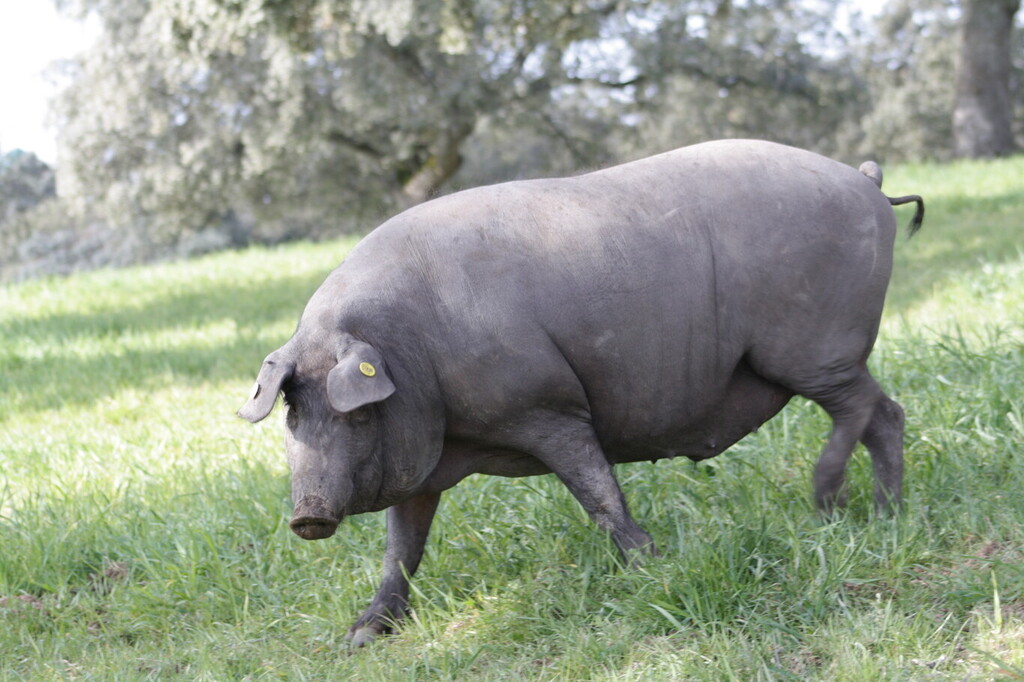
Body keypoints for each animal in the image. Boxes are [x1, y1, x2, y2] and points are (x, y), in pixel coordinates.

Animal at [239, 139, 923, 646]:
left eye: (354, 417)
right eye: (292, 413)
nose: (306, 516)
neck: (414, 350)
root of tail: (865, 181)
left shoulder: (546, 406)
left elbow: (596, 490)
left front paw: (648, 566)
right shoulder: (427, 463)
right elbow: (401, 549)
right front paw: (361, 636)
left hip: (811, 349)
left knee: (866, 409)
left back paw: (826, 502)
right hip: (819, 356)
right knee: (886, 414)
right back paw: (886, 515)